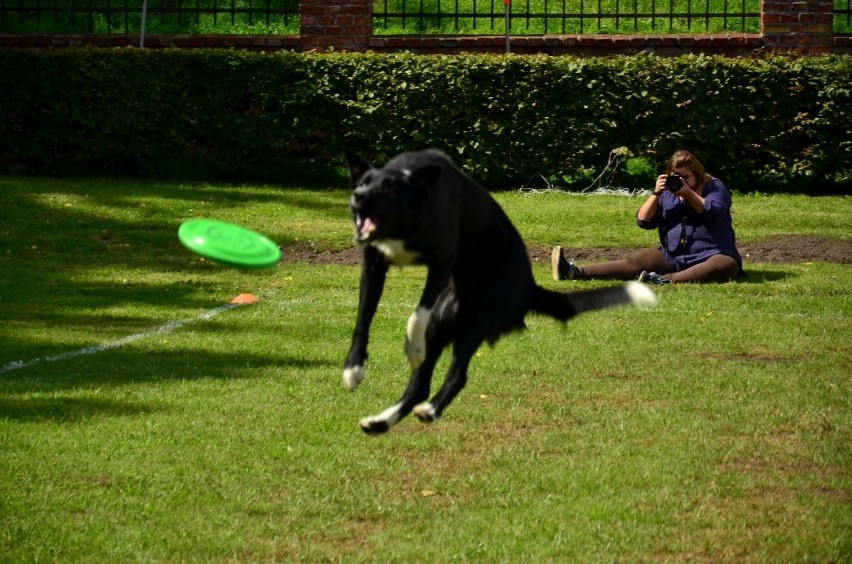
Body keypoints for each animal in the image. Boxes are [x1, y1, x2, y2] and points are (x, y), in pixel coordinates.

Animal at [342, 148, 652, 434]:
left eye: (388, 188)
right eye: (363, 183)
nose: (358, 197)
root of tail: (529, 285)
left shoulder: (442, 263)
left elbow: (419, 312)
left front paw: (413, 346)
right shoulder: (373, 266)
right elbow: (363, 318)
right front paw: (354, 367)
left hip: (475, 319)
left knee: (458, 375)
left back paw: (430, 409)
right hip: (445, 319)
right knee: (419, 386)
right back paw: (379, 422)